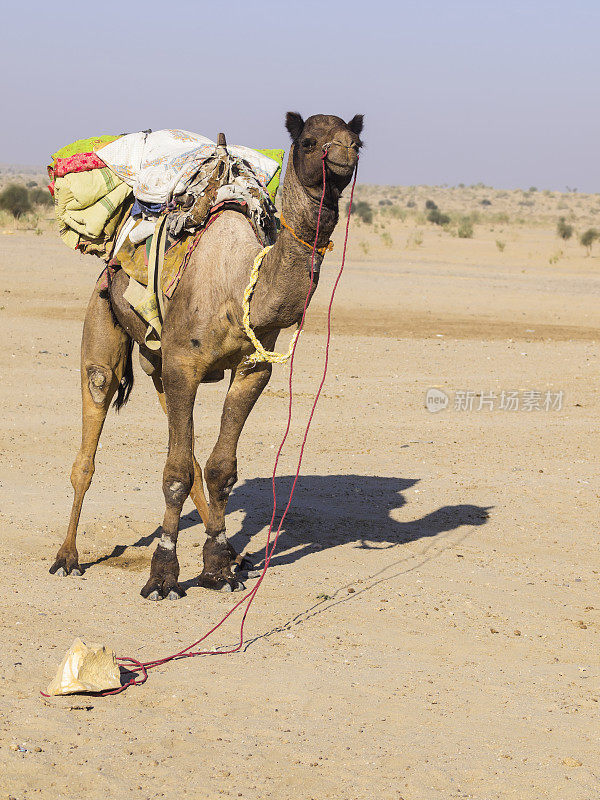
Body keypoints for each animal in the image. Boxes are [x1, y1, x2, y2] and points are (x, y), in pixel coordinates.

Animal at [50, 114, 360, 600]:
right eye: (310, 141)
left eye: (357, 141)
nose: (343, 155)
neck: (239, 287)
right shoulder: (185, 365)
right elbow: (174, 474)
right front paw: (162, 576)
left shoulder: (252, 369)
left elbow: (219, 469)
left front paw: (217, 567)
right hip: (105, 312)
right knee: (95, 412)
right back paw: (67, 557)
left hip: (159, 363)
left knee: (189, 448)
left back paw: (233, 553)